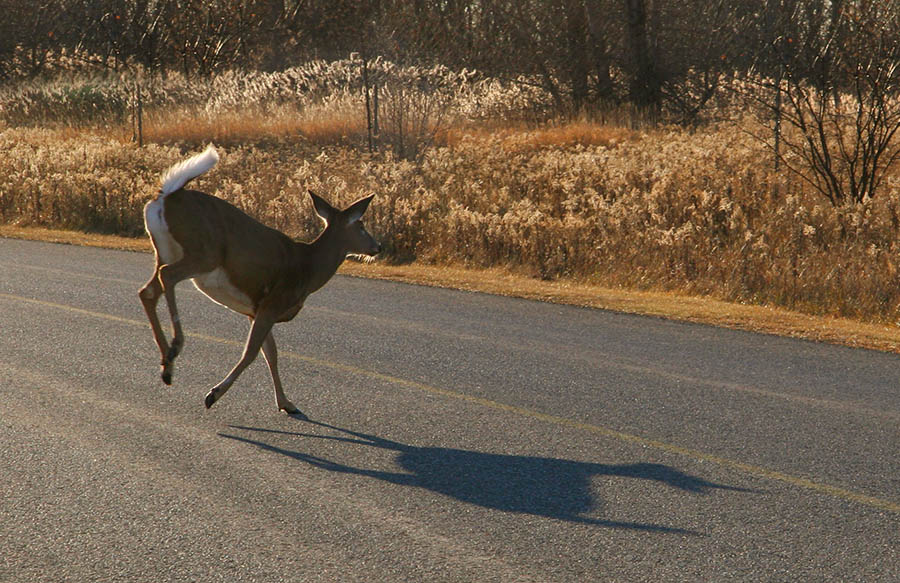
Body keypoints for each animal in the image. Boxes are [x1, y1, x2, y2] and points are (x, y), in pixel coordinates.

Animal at [137, 145, 380, 416]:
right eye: (361, 226)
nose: (378, 247)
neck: (309, 267)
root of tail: (166, 197)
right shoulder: (273, 302)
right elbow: (251, 353)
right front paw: (213, 394)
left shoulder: (256, 310)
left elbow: (271, 354)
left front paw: (286, 403)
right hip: (203, 253)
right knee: (167, 275)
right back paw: (175, 347)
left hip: (165, 250)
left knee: (147, 291)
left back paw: (167, 366)